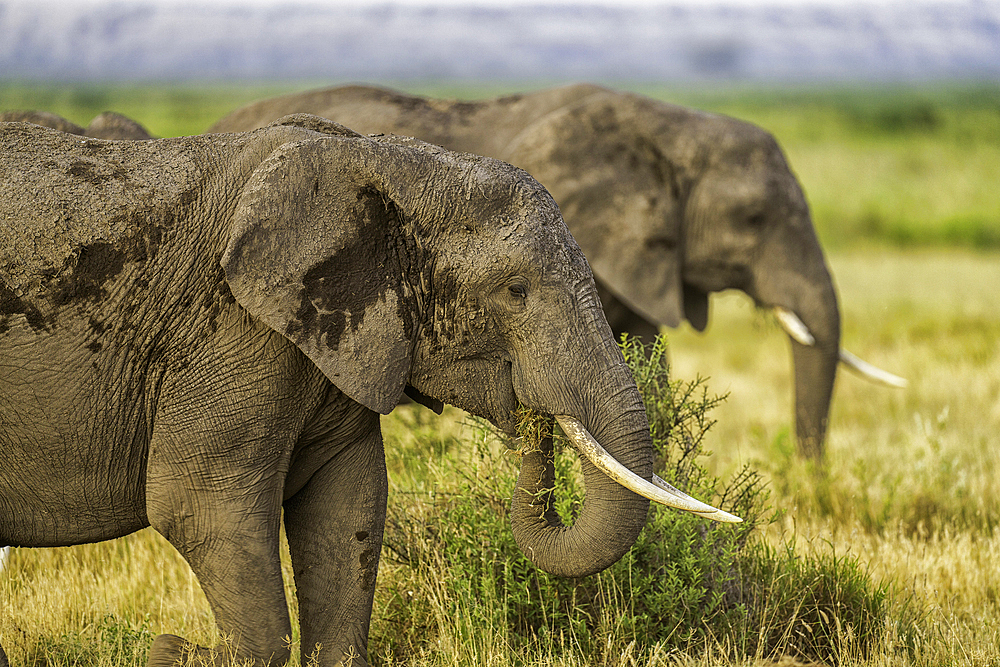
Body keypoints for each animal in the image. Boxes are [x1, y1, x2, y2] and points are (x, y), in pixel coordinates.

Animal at [0, 115, 736, 667]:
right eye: (514, 291)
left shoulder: (335, 334)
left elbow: (347, 505)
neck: (389, 163)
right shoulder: (228, 328)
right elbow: (198, 505)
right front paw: (174, 651)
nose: (531, 421)